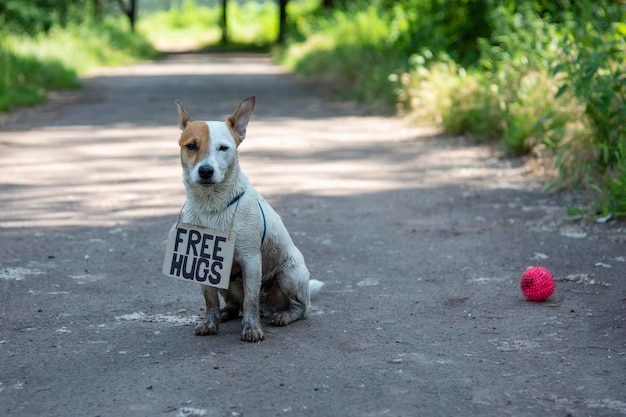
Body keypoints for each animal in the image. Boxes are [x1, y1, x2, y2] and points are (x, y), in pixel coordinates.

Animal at [174, 96, 322, 342]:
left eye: (224, 148)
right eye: (191, 145)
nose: (206, 171)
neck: (212, 206)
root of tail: (268, 306)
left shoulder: (251, 261)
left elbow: (251, 300)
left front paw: (252, 328)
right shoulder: (203, 264)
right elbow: (210, 301)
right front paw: (210, 322)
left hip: (289, 276)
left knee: (300, 307)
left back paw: (283, 315)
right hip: (226, 281)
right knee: (235, 305)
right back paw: (226, 313)